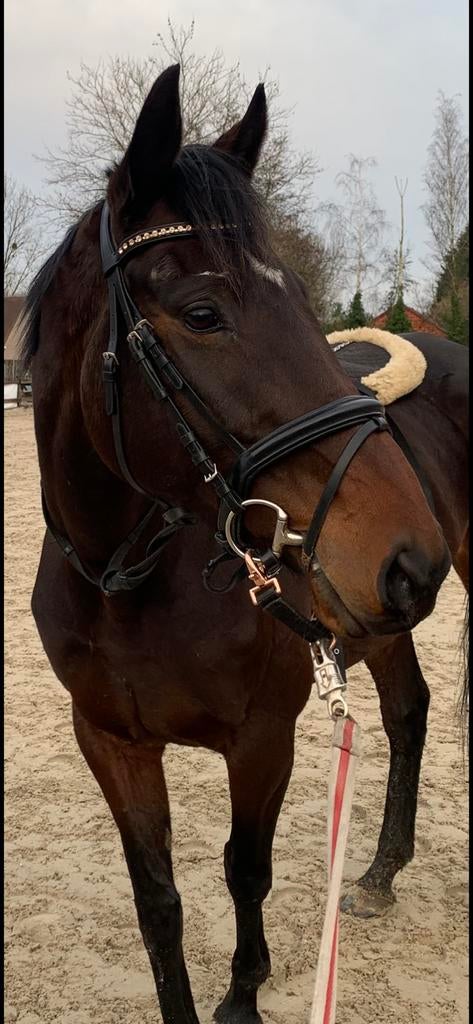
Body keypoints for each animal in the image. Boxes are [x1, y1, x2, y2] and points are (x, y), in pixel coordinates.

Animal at [21, 65, 467, 1023]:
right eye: (202, 312)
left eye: (300, 297)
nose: (410, 554)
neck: (127, 583)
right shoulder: (110, 742)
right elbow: (158, 902)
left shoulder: (263, 738)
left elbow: (243, 872)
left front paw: (242, 995)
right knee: (408, 710)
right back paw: (377, 873)